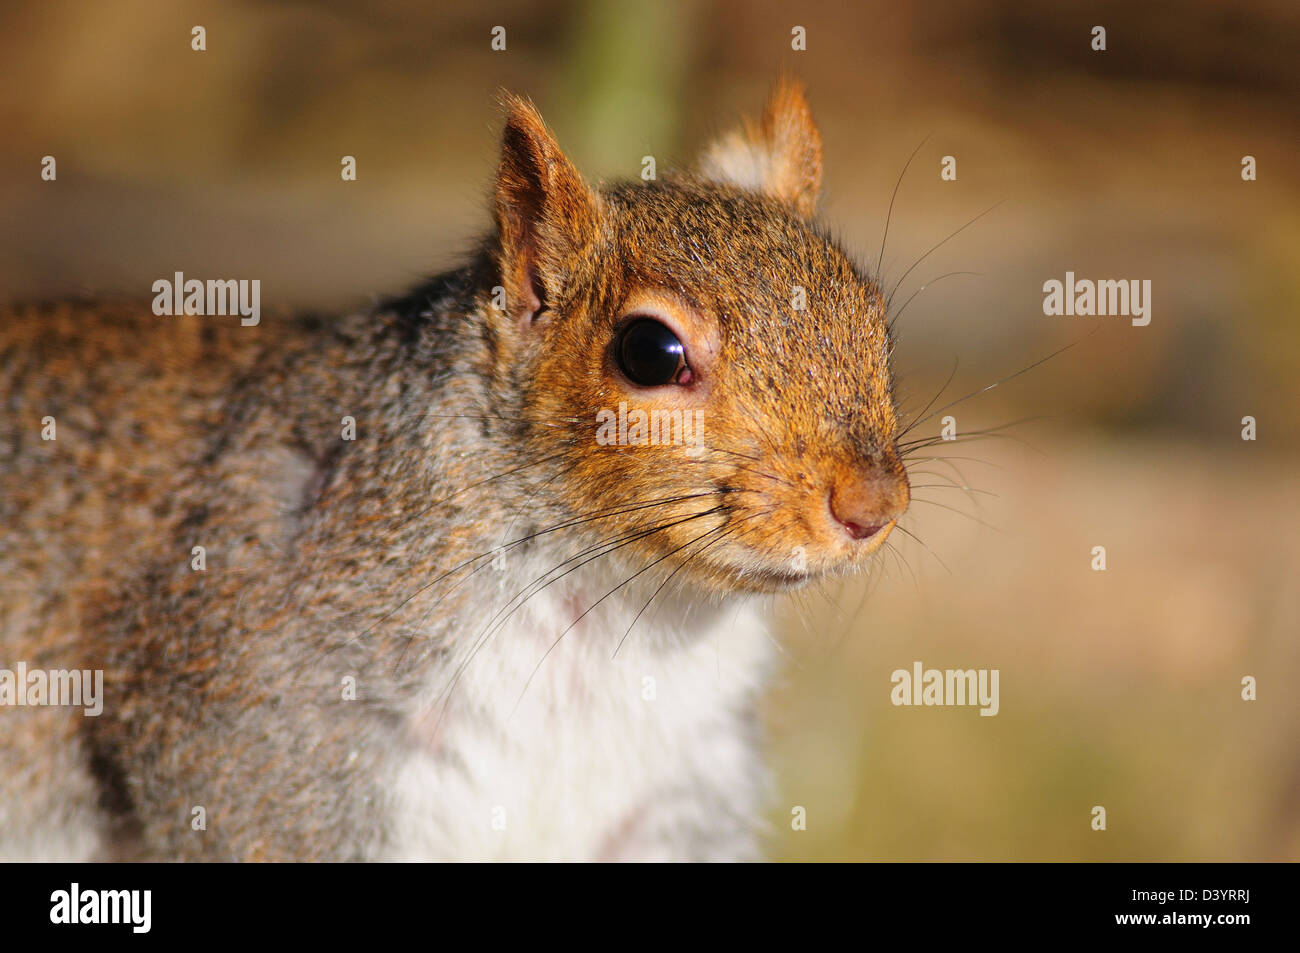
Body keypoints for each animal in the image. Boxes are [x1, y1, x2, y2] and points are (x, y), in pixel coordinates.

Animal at [0, 78, 909, 858]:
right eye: (649, 351)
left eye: (875, 321)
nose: (873, 505)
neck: (620, 619)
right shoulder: (257, 736)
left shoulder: (678, 794)